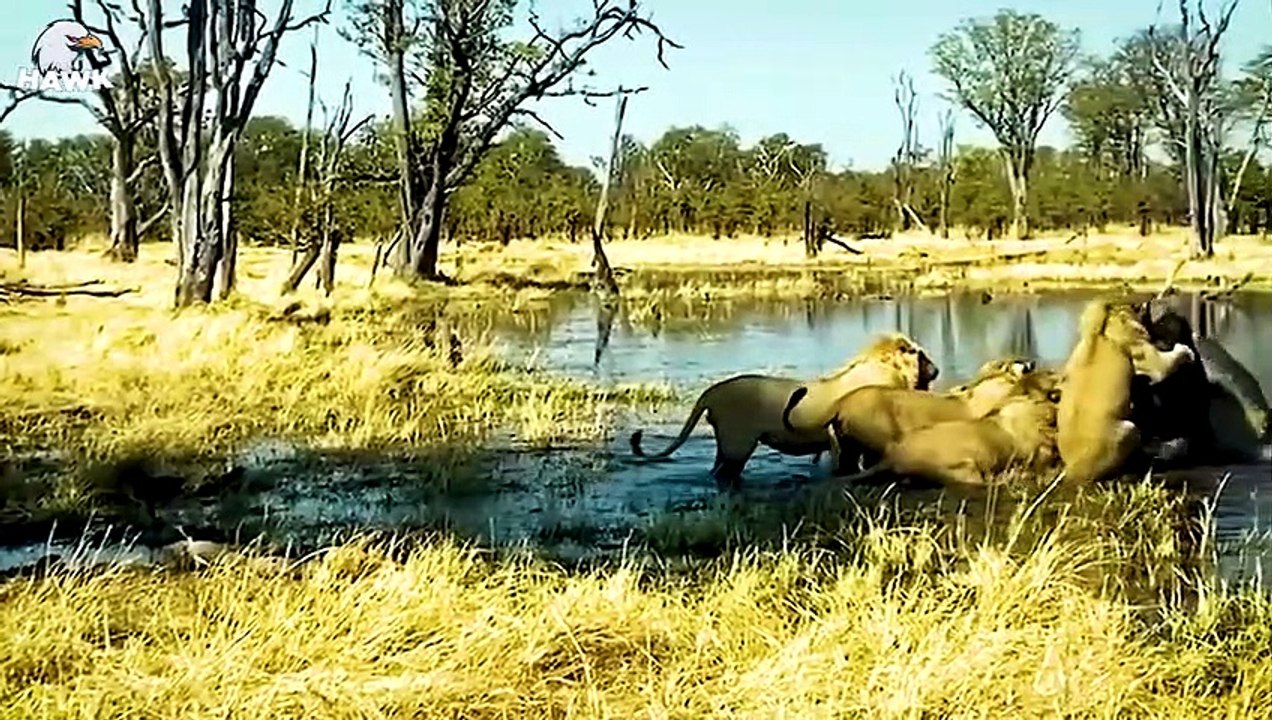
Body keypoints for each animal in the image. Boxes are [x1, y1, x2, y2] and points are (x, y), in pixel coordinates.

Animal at [629, 333, 939, 487]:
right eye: (922, 355)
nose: (936, 370)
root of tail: (711, 392)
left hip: (727, 447)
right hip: (738, 445)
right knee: (726, 474)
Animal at [1056, 299, 1196, 485]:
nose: (1151, 301)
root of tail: (1073, 471)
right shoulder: (1155, 362)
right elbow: (1173, 358)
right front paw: (1186, 351)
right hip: (1130, 429)